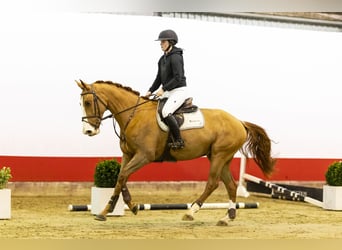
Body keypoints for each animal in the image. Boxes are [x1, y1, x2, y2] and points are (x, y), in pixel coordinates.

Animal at [75, 79, 276, 226]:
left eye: (87, 102)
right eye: (81, 103)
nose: (88, 131)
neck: (134, 115)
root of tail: (239, 122)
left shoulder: (144, 156)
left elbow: (123, 176)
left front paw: (111, 210)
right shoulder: (128, 155)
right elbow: (120, 178)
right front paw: (123, 208)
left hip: (219, 156)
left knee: (212, 183)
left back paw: (191, 212)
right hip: (220, 157)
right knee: (231, 186)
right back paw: (227, 217)